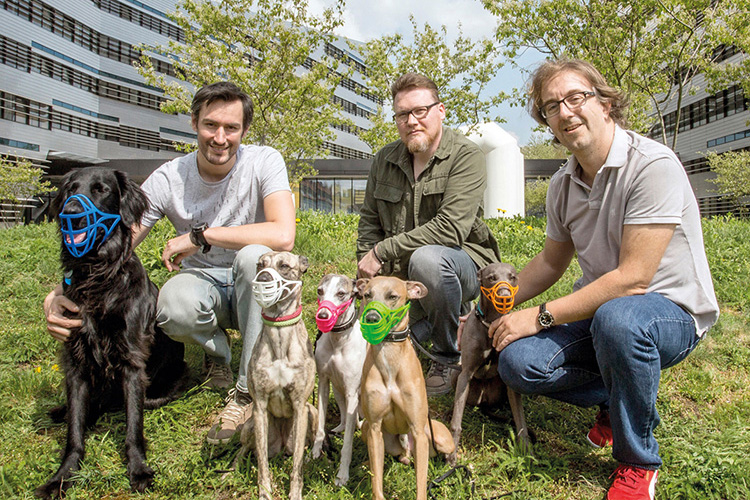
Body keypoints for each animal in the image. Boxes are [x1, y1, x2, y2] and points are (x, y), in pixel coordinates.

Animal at [36, 169, 187, 500]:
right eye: (70, 189)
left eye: (101, 189)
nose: (71, 211)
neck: (98, 277)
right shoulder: (76, 363)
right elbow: (74, 432)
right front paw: (62, 476)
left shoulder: (131, 362)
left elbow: (133, 425)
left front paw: (139, 469)